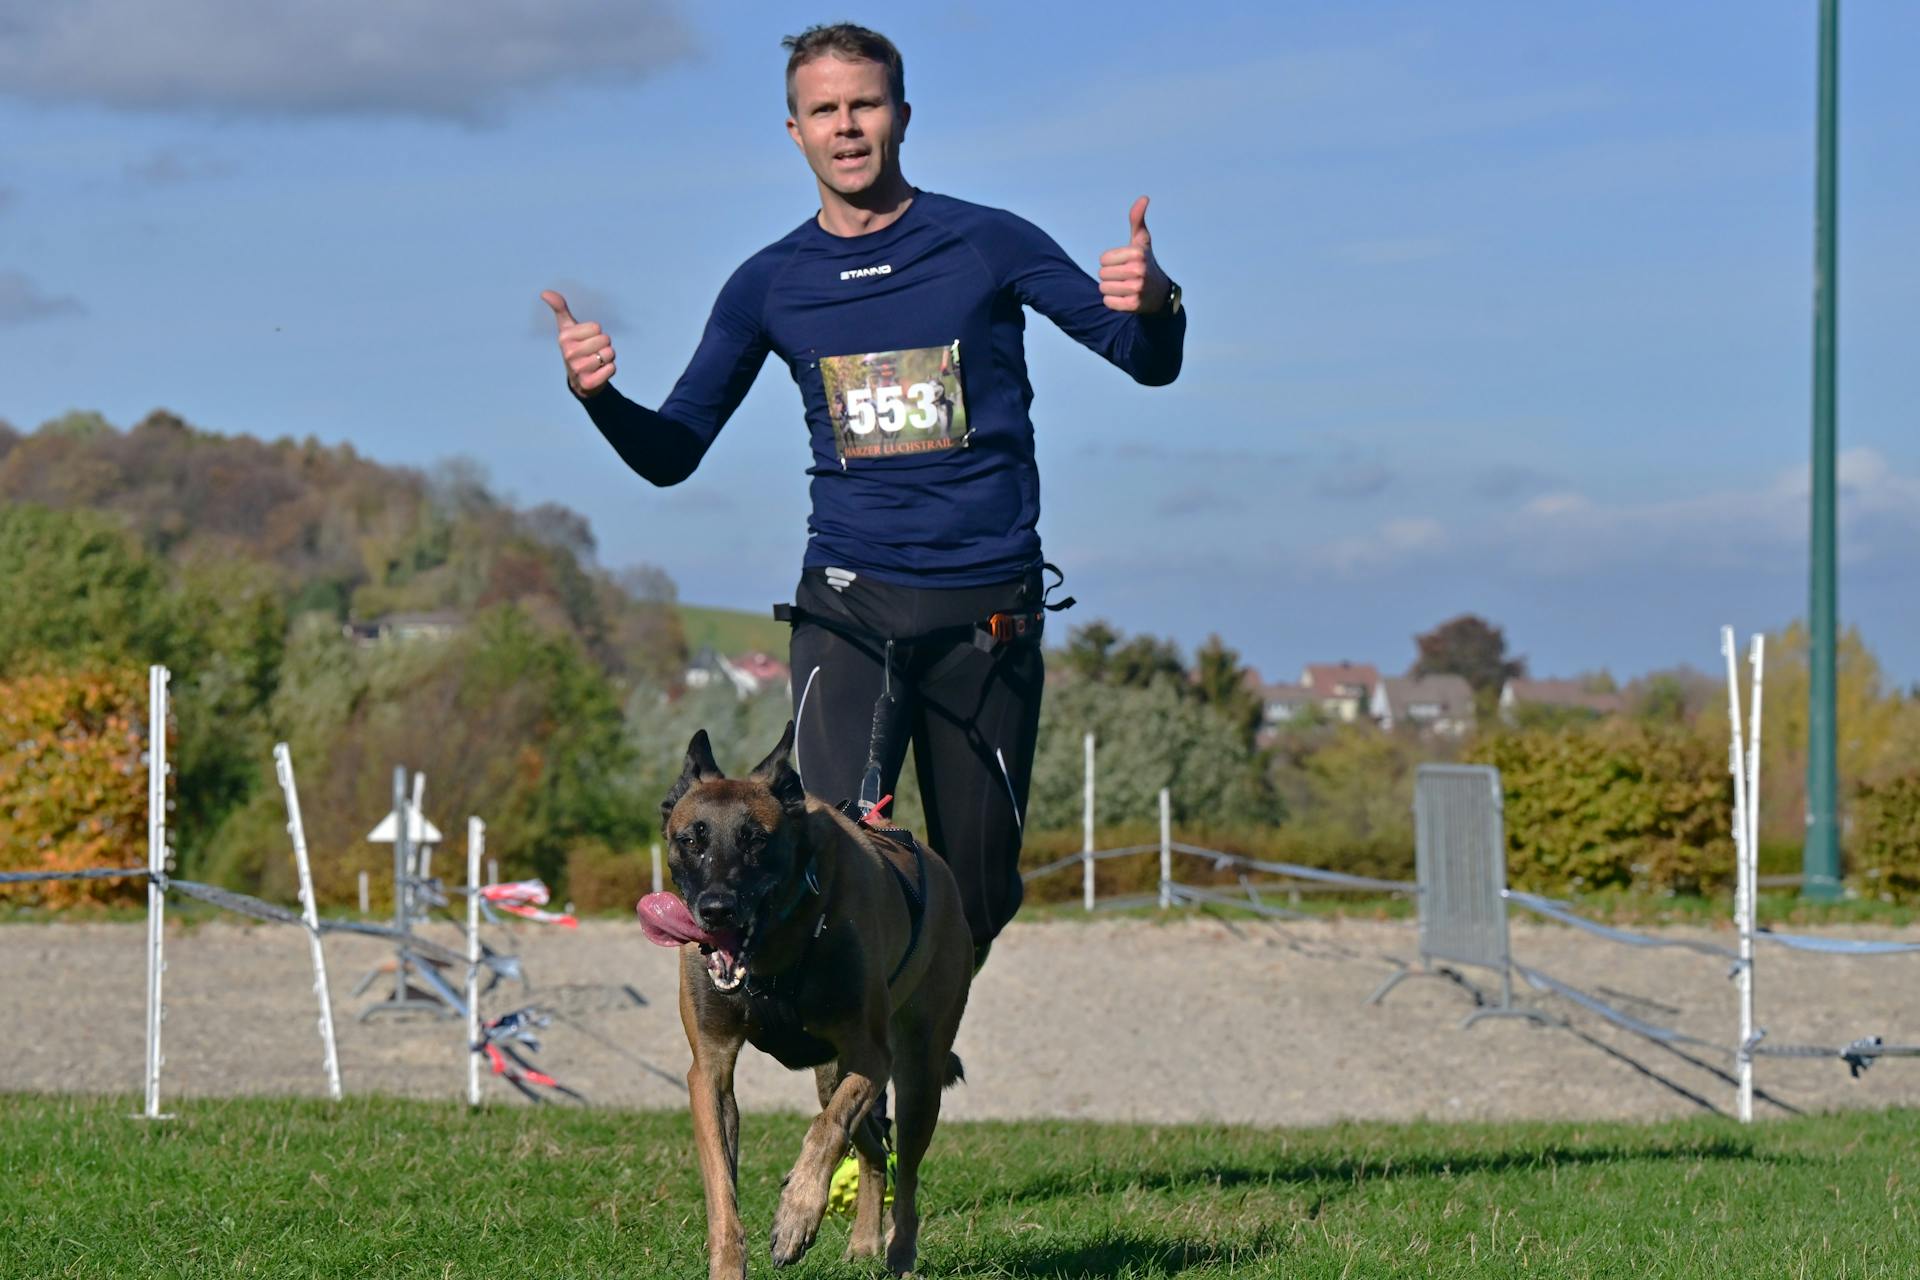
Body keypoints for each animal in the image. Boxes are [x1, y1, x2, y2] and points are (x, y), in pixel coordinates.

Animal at [664, 725, 975, 1274]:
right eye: (692, 840)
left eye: (755, 840)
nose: (716, 909)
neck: (773, 953)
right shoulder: (710, 1071)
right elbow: (722, 1186)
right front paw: (728, 1265)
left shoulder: (872, 1054)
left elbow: (826, 1130)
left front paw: (796, 1214)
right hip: (831, 1075)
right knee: (873, 1151)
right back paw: (864, 1241)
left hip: (918, 1075)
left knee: (904, 1172)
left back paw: (899, 1252)